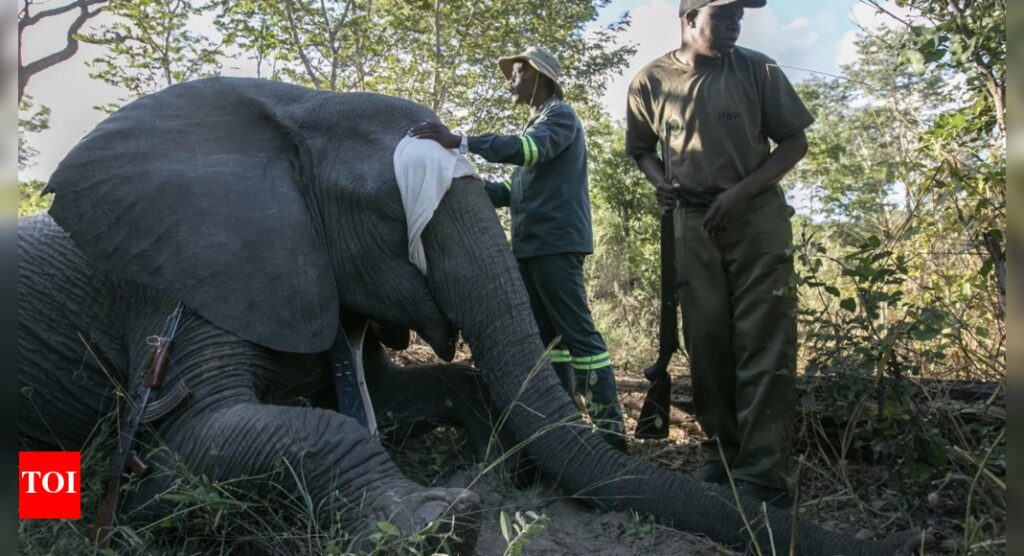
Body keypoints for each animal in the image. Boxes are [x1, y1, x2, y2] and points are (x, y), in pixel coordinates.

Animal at [18, 77, 920, 555]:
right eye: (396, 211)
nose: (914, 542)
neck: (290, 113)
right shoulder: (185, 277)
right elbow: (193, 449)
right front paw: (441, 522)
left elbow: (399, 394)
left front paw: (493, 466)